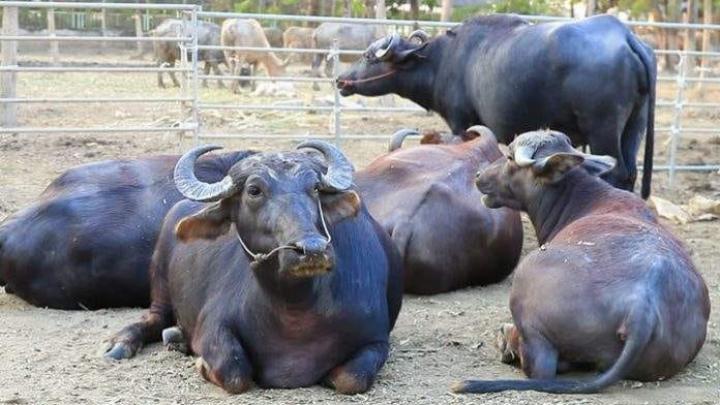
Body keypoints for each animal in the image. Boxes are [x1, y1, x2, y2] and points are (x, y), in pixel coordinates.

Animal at [103, 142, 402, 394]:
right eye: (254, 190)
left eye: (315, 188)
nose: (313, 249)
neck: (296, 309)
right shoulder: (213, 325)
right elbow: (234, 372)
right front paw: (202, 364)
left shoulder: (376, 339)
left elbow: (352, 378)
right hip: (160, 280)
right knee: (154, 317)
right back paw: (123, 343)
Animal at [338, 15, 660, 198]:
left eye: (369, 56)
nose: (341, 80)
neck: (442, 61)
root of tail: (624, 35)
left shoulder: (460, 121)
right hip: (634, 126)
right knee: (629, 173)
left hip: (603, 129)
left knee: (616, 171)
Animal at [452, 130, 712, 394]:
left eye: (510, 157)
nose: (478, 175)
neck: (585, 200)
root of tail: (641, 310)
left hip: (526, 291)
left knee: (539, 367)